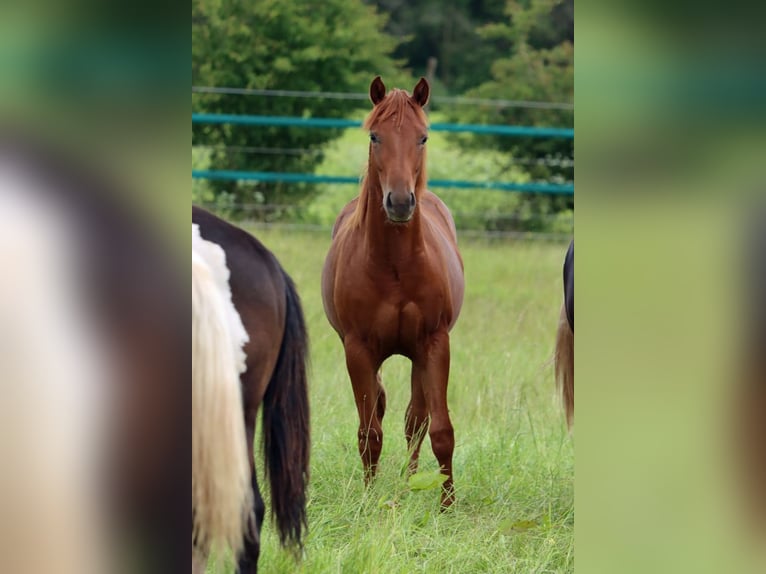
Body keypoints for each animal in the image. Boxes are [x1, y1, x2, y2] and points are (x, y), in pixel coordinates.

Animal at [320, 76, 464, 508]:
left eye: (423, 137)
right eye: (374, 136)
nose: (399, 202)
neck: (396, 264)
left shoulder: (434, 343)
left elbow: (440, 430)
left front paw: (447, 505)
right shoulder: (358, 349)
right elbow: (370, 431)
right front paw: (369, 499)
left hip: (418, 355)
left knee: (416, 419)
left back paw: (412, 480)